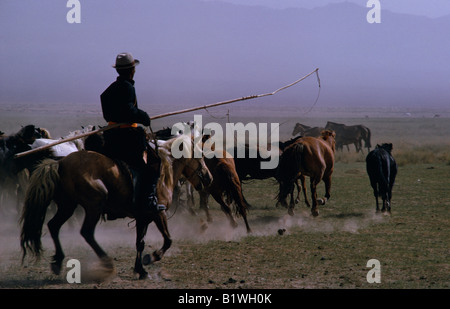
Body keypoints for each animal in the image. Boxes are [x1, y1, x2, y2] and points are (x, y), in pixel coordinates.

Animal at [19, 134, 213, 278]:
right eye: (200, 154)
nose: (209, 178)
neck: (163, 172)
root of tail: (59, 163)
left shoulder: (142, 217)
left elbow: (140, 242)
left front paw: (140, 270)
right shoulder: (158, 213)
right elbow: (168, 239)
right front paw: (151, 258)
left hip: (68, 206)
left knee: (54, 226)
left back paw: (58, 261)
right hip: (94, 205)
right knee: (86, 232)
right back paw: (106, 262)